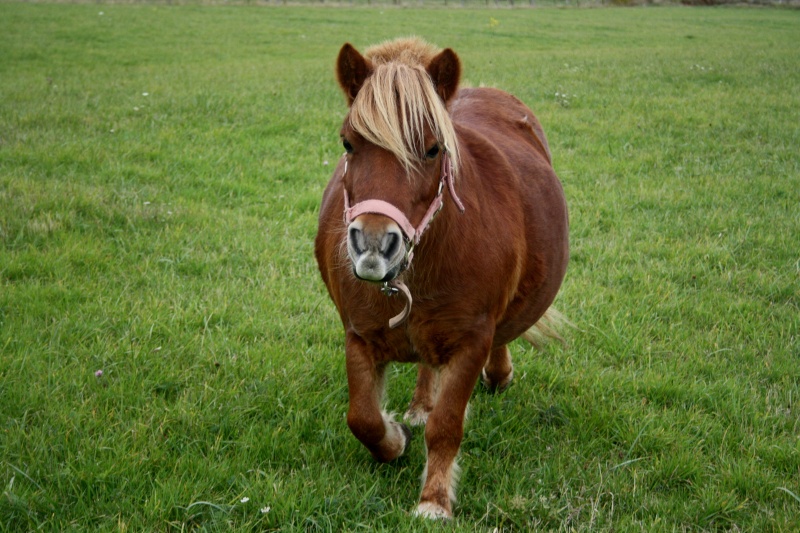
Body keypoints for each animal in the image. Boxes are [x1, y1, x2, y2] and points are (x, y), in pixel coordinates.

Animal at [312, 38, 568, 520]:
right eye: (348, 143)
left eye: (433, 150)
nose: (373, 245)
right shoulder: (358, 334)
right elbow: (363, 418)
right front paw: (396, 438)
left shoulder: (471, 341)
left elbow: (446, 425)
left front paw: (433, 500)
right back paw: (418, 405)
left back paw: (497, 374)